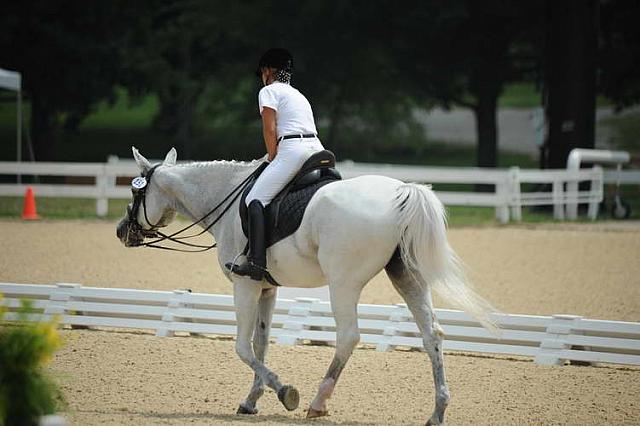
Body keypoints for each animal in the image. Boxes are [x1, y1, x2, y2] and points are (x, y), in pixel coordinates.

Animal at [116, 148, 496, 424]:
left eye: (135, 193)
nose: (121, 231)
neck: (225, 197)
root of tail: (403, 191)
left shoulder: (244, 284)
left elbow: (242, 347)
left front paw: (285, 392)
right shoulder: (266, 287)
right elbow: (261, 343)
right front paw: (251, 400)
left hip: (343, 283)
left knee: (349, 336)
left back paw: (317, 402)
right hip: (407, 276)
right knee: (432, 335)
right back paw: (437, 412)